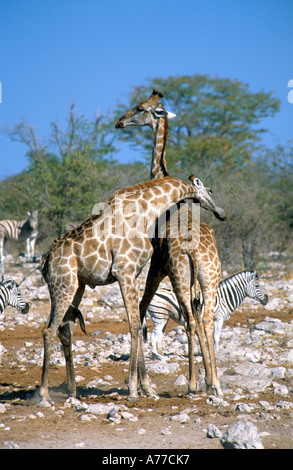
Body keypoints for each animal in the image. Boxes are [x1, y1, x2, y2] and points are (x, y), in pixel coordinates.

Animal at [39, 174, 226, 402]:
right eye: (210, 190)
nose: (221, 213)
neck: (147, 209)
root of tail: (47, 260)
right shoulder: (124, 271)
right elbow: (135, 325)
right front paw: (134, 390)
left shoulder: (134, 273)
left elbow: (138, 322)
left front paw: (145, 388)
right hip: (62, 285)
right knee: (48, 330)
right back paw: (43, 394)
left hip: (75, 287)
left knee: (64, 330)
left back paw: (72, 391)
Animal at [115, 90, 222, 394]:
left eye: (140, 108)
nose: (119, 122)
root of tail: (195, 250)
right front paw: (208, 378)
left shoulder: (157, 265)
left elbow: (140, 311)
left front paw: (142, 383)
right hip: (209, 278)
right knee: (204, 318)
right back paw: (214, 383)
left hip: (179, 276)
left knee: (189, 319)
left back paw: (193, 383)